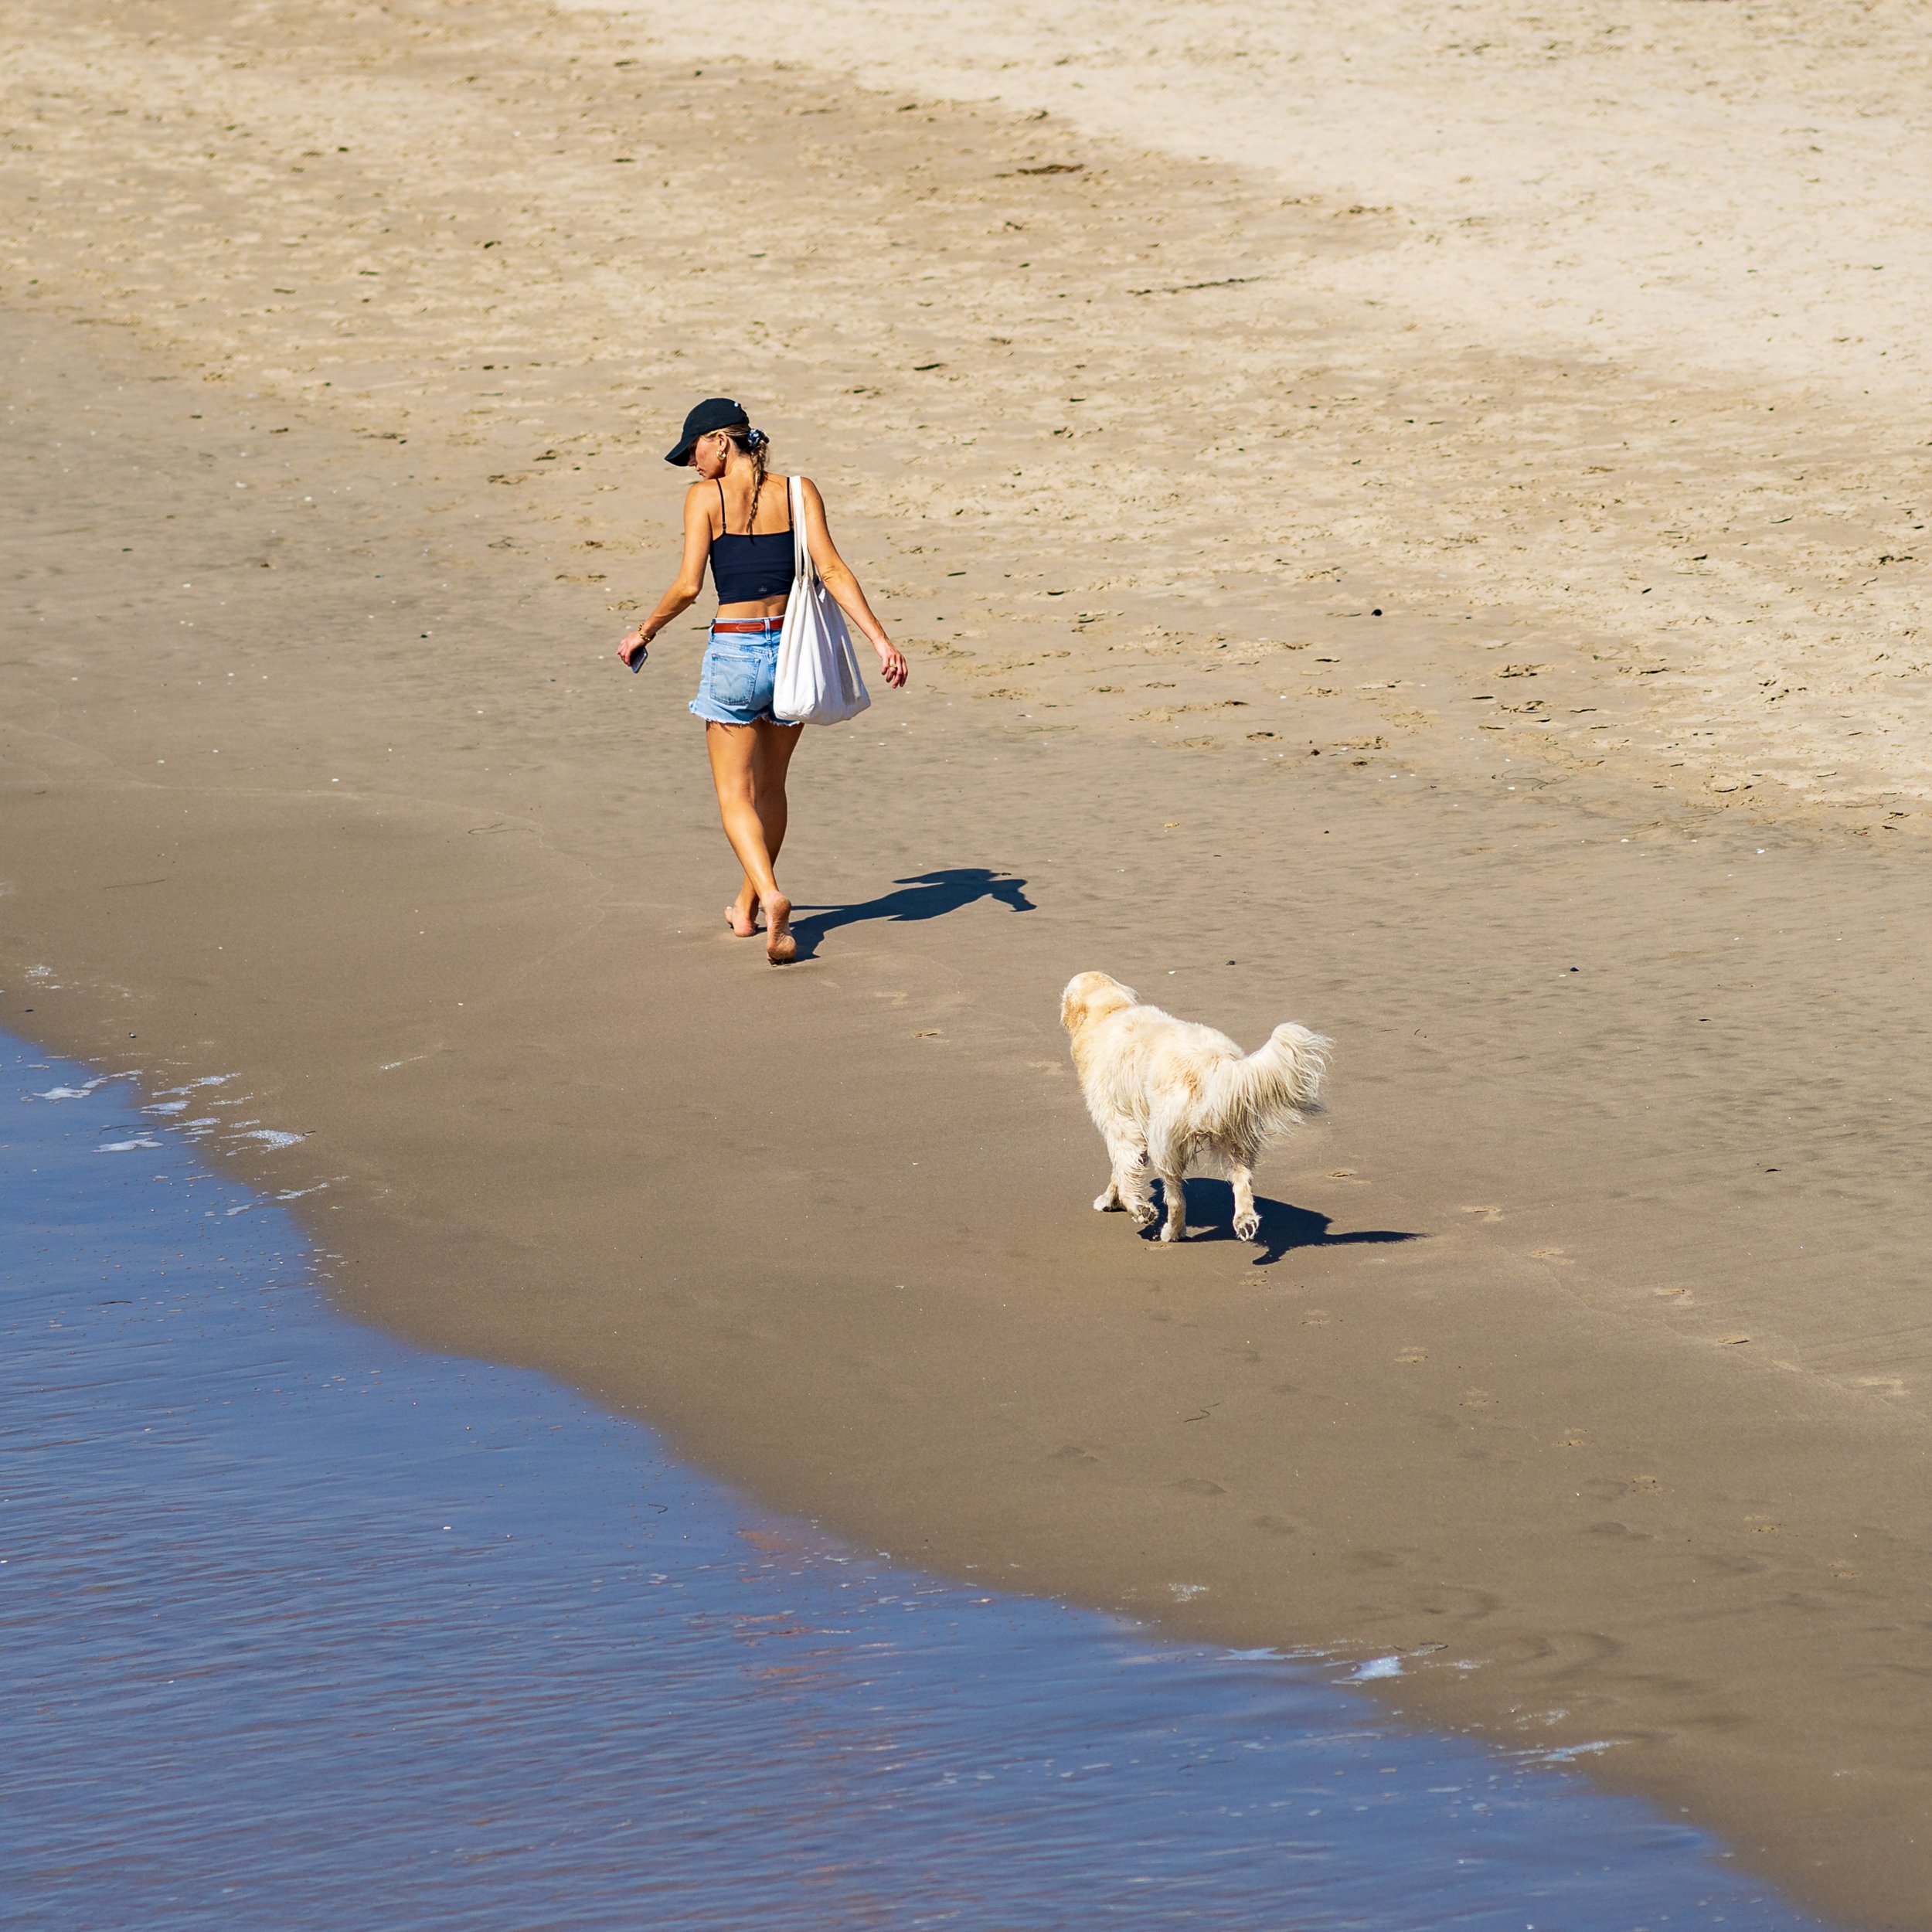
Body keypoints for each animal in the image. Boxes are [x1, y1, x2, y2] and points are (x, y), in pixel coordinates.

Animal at [1059, 974, 1329, 1244]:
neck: (1109, 1011)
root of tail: (1213, 1062)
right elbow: (1121, 1171)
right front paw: (1110, 1199)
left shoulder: (1120, 1125)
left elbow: (1125, 1170)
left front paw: (1129, 1205)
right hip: (1231, 1126)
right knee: (1242, 1177)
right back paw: (1245, 1220)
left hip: (1165, 1140)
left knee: (1176, 1198)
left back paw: (1170, 1230)